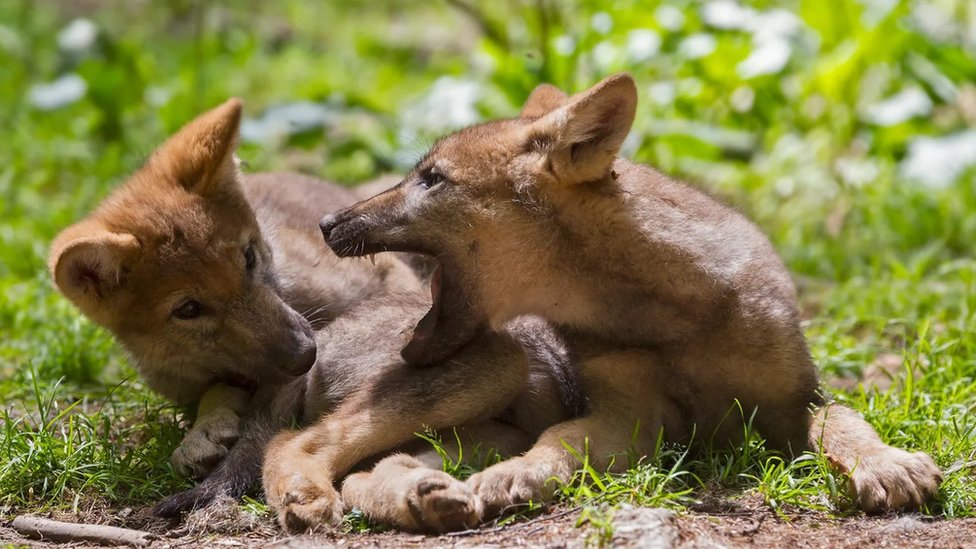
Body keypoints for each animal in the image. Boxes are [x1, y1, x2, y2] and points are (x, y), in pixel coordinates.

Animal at [49, 100, 580, 532]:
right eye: (188, 309)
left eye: (249, 259)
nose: (307, 354)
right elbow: (224, 397)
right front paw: (206, 432)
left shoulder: (382, 278)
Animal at [318, 74, 943, 515]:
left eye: (431, 179)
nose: (327, 223)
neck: (667, 327)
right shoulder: (632, 420)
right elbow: (560, 439)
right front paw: (515, 475)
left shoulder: (800, 401)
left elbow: (846, 422)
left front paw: (889, 466)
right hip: (495, 370)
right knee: (337, 457)